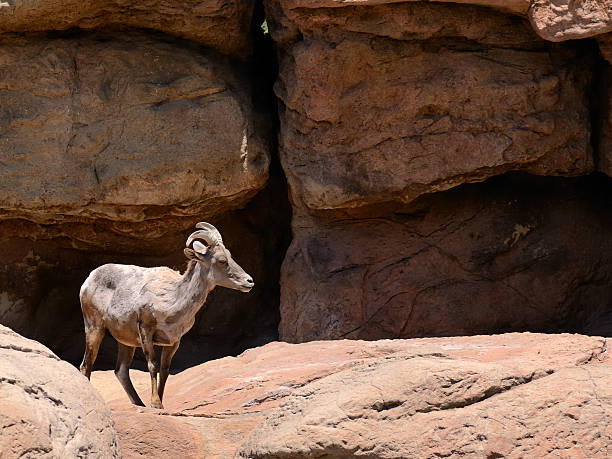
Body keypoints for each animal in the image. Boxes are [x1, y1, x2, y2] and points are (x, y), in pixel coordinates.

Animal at [77, 223, 252, 410]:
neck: (171, 302)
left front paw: (160, 403)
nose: (249, 281)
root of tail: (89, 280)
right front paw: (155, 403)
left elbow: (165, 370)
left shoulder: (174, 341)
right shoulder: (146, 331)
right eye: (221, 261)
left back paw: (139, 404)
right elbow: (153, 365)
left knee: (121, 371)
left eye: (230, 256)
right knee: (87, 364)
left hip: (126, 341)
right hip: (94, 327)